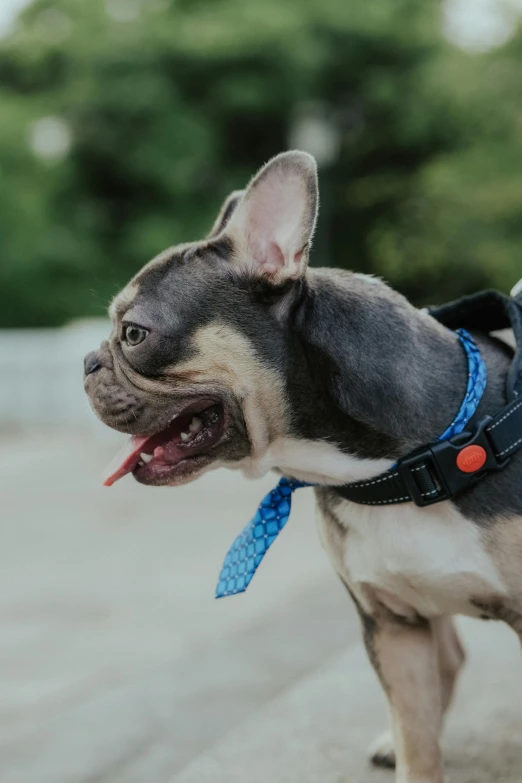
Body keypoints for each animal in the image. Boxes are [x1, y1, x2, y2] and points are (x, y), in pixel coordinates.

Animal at [84, 150, 520, 780]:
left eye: (134, 333)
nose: (87, 362)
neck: (403, 470)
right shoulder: (393, 624)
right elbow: (417, 738)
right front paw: (409, 747)